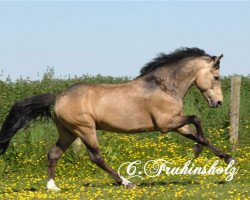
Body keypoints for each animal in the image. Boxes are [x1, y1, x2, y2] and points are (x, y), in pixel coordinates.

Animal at [0, 47, 234, 191]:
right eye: (216, 77)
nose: (218, 102)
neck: (163, 86)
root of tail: (58, 97)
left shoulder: (175, 124)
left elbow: (198, 134)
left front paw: (228, 158)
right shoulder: (166, 124)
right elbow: (197, 119)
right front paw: (199, 152)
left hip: (68, 132)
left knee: (53, 153)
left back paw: (52, 187)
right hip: (85, 129)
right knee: (96, 158)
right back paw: (126, 182)